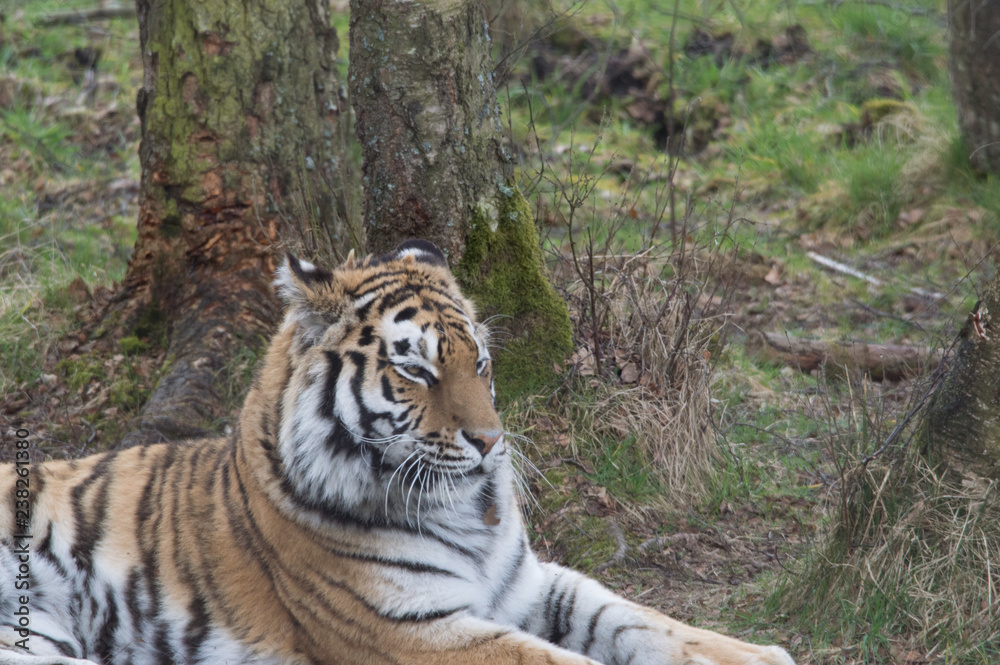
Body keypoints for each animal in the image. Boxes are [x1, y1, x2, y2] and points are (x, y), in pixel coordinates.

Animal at [0, 239, 796, 665]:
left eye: (481, 360)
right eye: (416, 369)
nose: (491, 443)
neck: (470, 512)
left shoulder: (526, 582)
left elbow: (637, 616)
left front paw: (756, 654)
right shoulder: (411, 631)